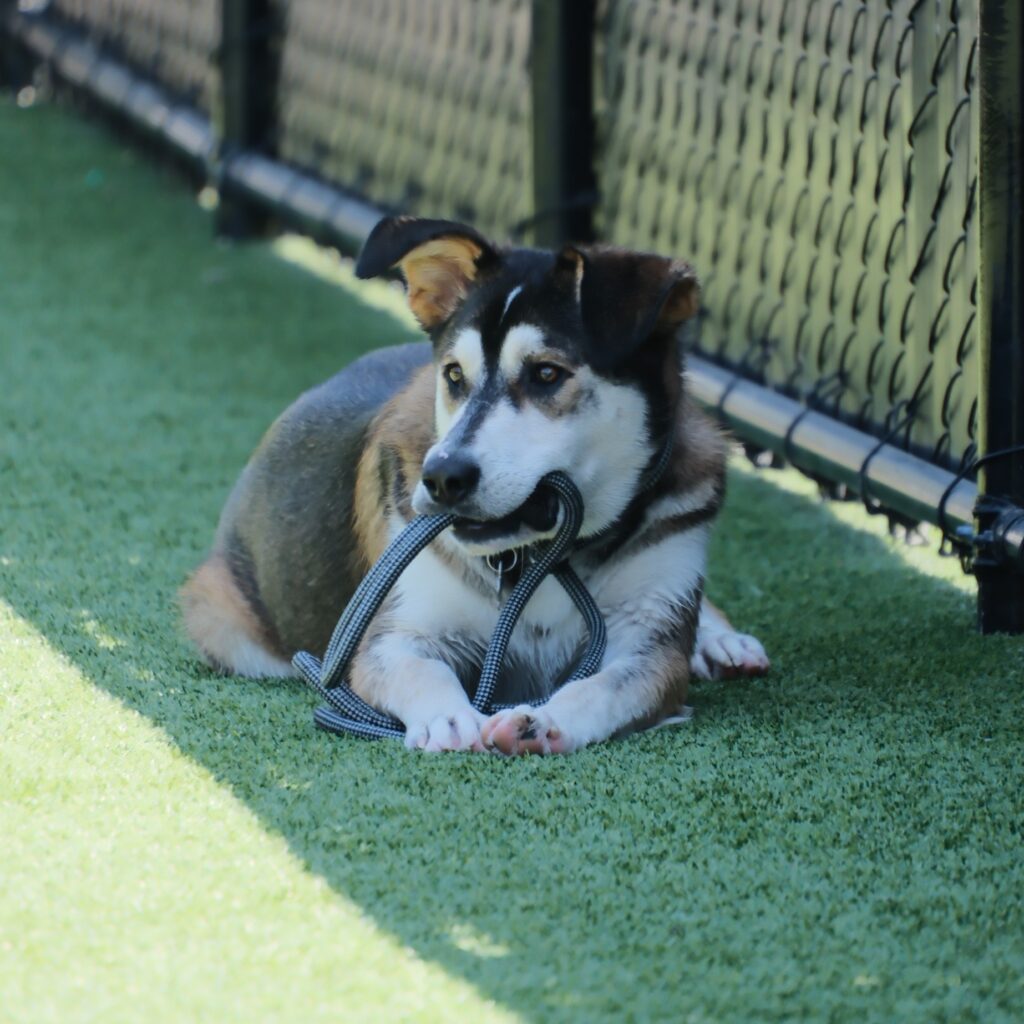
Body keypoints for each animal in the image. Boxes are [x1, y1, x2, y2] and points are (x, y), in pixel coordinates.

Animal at [180, 216, 765, 753]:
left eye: (547, 374)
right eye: (455, 375)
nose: (442, 477)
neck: (545, 556)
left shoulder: (651, 641)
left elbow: (603, 689)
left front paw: (545, 723)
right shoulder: (390, 636)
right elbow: (421, 669)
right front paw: (449, 718)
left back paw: (722, 641)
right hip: (220, 619)